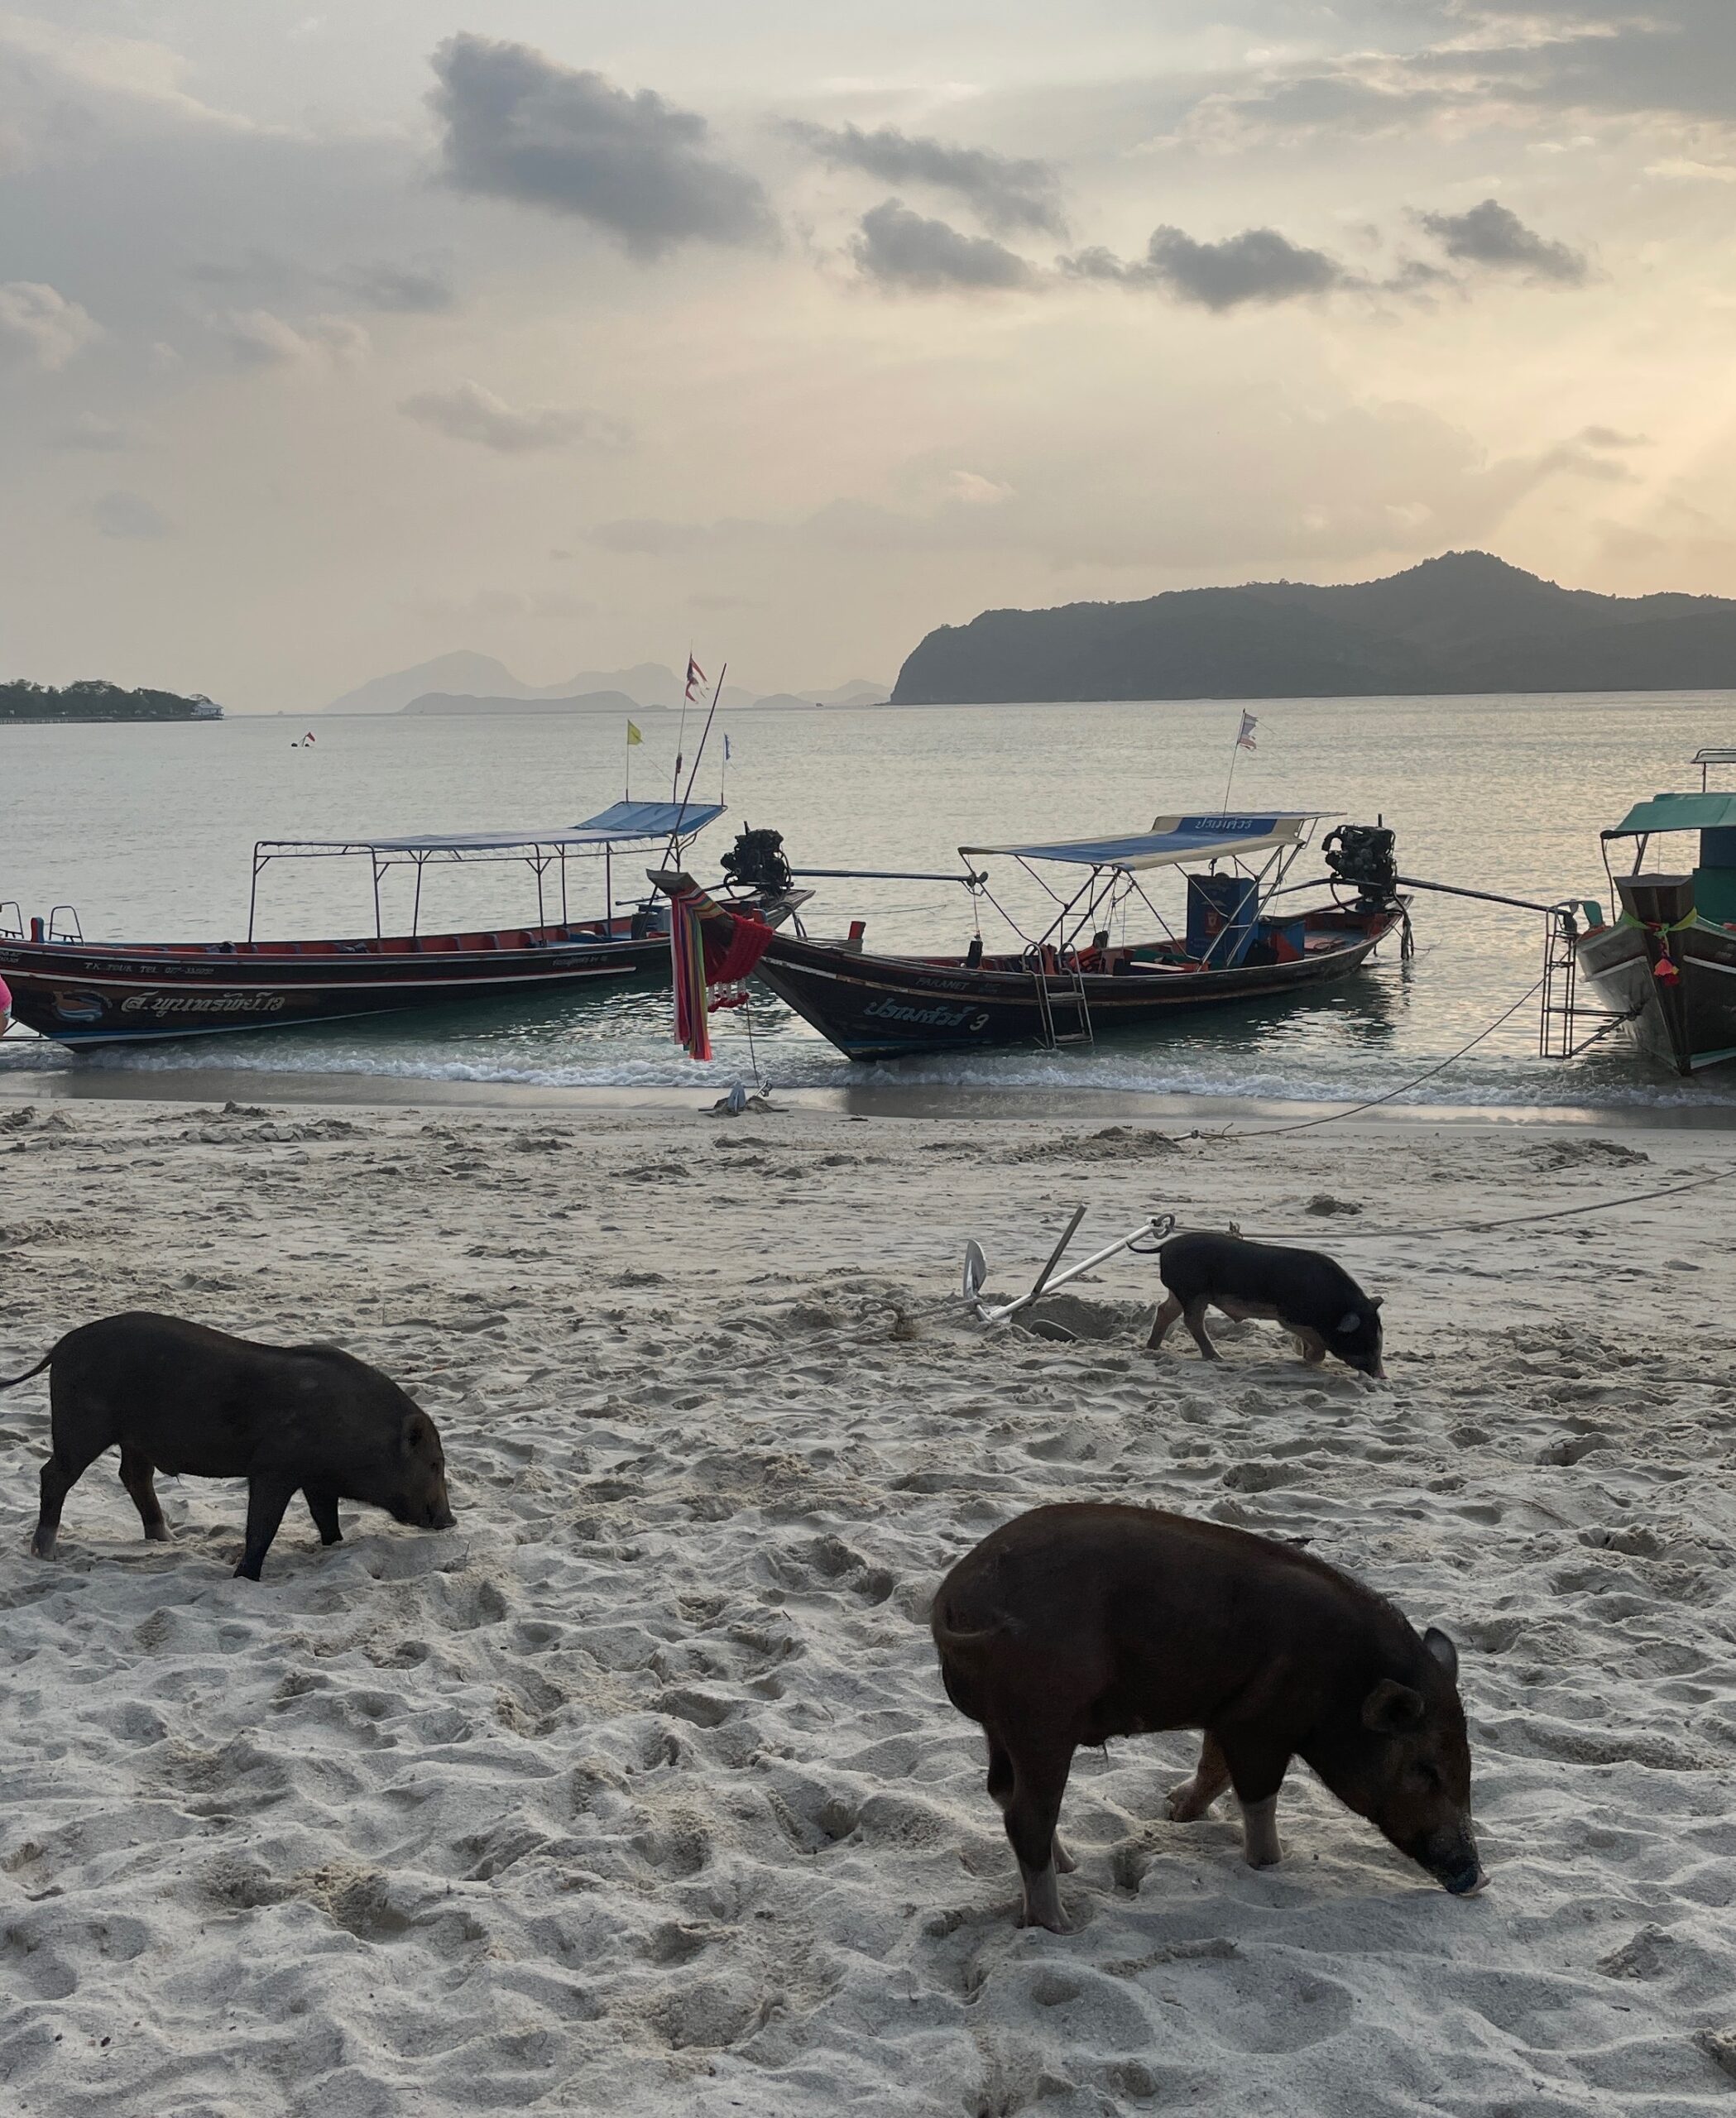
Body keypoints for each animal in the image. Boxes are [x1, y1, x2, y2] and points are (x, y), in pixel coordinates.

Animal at [0, 1313, 457, 1584]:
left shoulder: (317, 1481)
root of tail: (62, 1346)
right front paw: (245, 1578)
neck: (356, 1426)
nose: (450, 1521)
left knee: (133, 1475)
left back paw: (166, 1538)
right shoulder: (273, 1470)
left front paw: (333, 1547)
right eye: (435, 1464)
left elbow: (327, 1520)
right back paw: (46, 1554)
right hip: (81, 1426)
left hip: (133, 1438)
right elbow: (262, 1525)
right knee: (54, 1474)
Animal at [927, 1499, 1481, 1931]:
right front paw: (1271, 1863)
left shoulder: (1232, 1711)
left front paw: (1175, 1813)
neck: (1344, 1680)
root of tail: (953, 1602)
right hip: (1041, 1719)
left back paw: (1070, 1868)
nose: (1476, 1879)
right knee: (1026, 1816)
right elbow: (1257, 1797)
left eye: (1468, 1763)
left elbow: (1213, 1768)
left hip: (1001, 1726)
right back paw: (1062, 1925)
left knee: (1003, 1792)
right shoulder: (1261, 1727)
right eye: (1426, 1769)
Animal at [1151, 1237, 1380, 1381]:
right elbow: (1315, 1343)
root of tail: (1166, 1246)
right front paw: (1307, 1358)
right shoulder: (1288, 1316)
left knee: (1164, 1311)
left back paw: (1153, 1348)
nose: (1382, 1376)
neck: (1335, 1308)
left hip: (1180, 1293)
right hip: (1192, 1293)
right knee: (1192, 1321)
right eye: (1365, 1337)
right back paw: (1217, 1358)